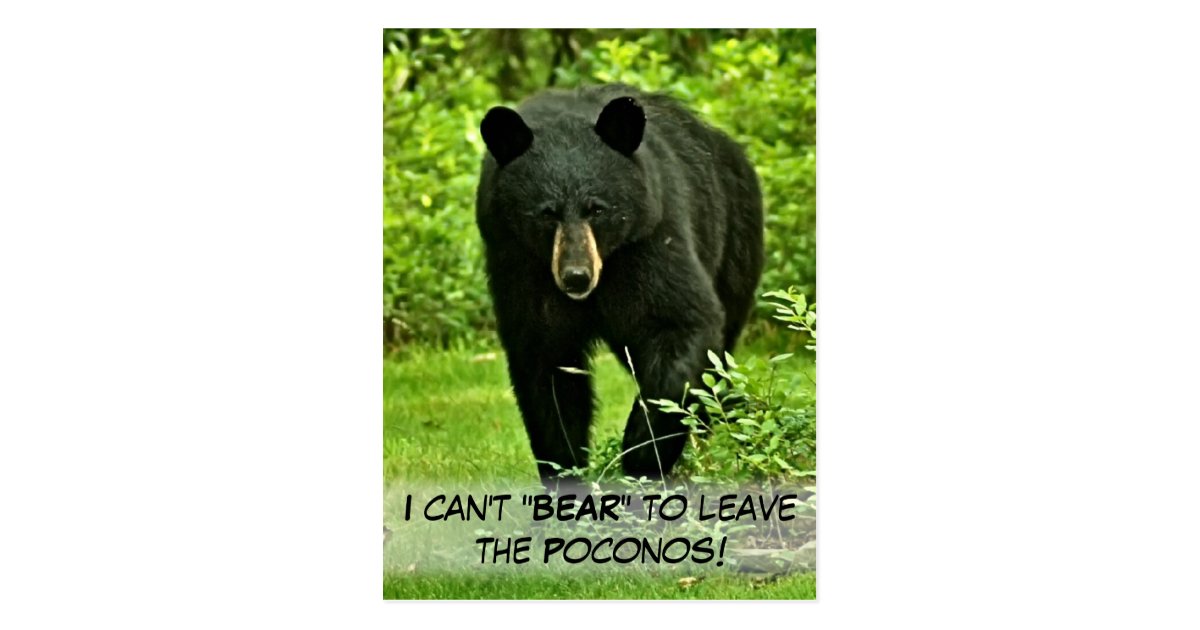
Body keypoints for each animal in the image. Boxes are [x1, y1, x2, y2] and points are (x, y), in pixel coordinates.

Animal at [475, 84, 764, 483]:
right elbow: (544, 362)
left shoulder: (650, 241)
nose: (576, 276)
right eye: (547, 214)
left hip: (734, 242)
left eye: (597, 209)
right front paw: (564, 469)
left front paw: (641, 453)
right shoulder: (520, 266)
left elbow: (681, 322)